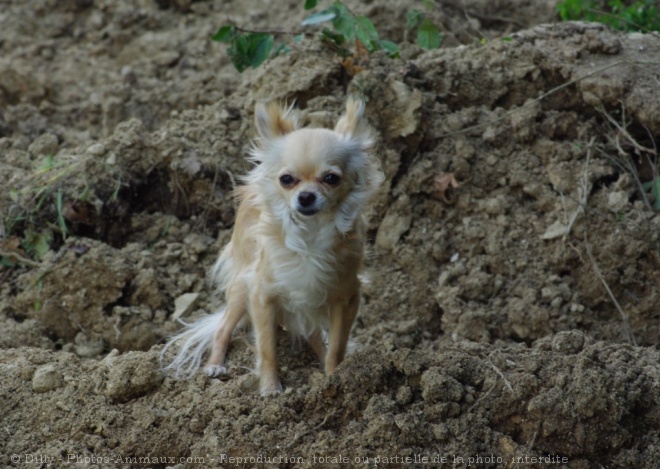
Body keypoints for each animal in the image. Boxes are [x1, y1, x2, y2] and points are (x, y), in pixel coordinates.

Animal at [162, 97, 384, 394]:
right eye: (286, 179)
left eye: (331, 178)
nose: (305, 196)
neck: (310, 234)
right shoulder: (262, 295)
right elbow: (267, 347)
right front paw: (270, 388)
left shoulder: (346, 299)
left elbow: (338, 346)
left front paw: (334, 378)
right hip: (242, 285)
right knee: (223, 327)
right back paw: (215, 365)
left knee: (314, 333)